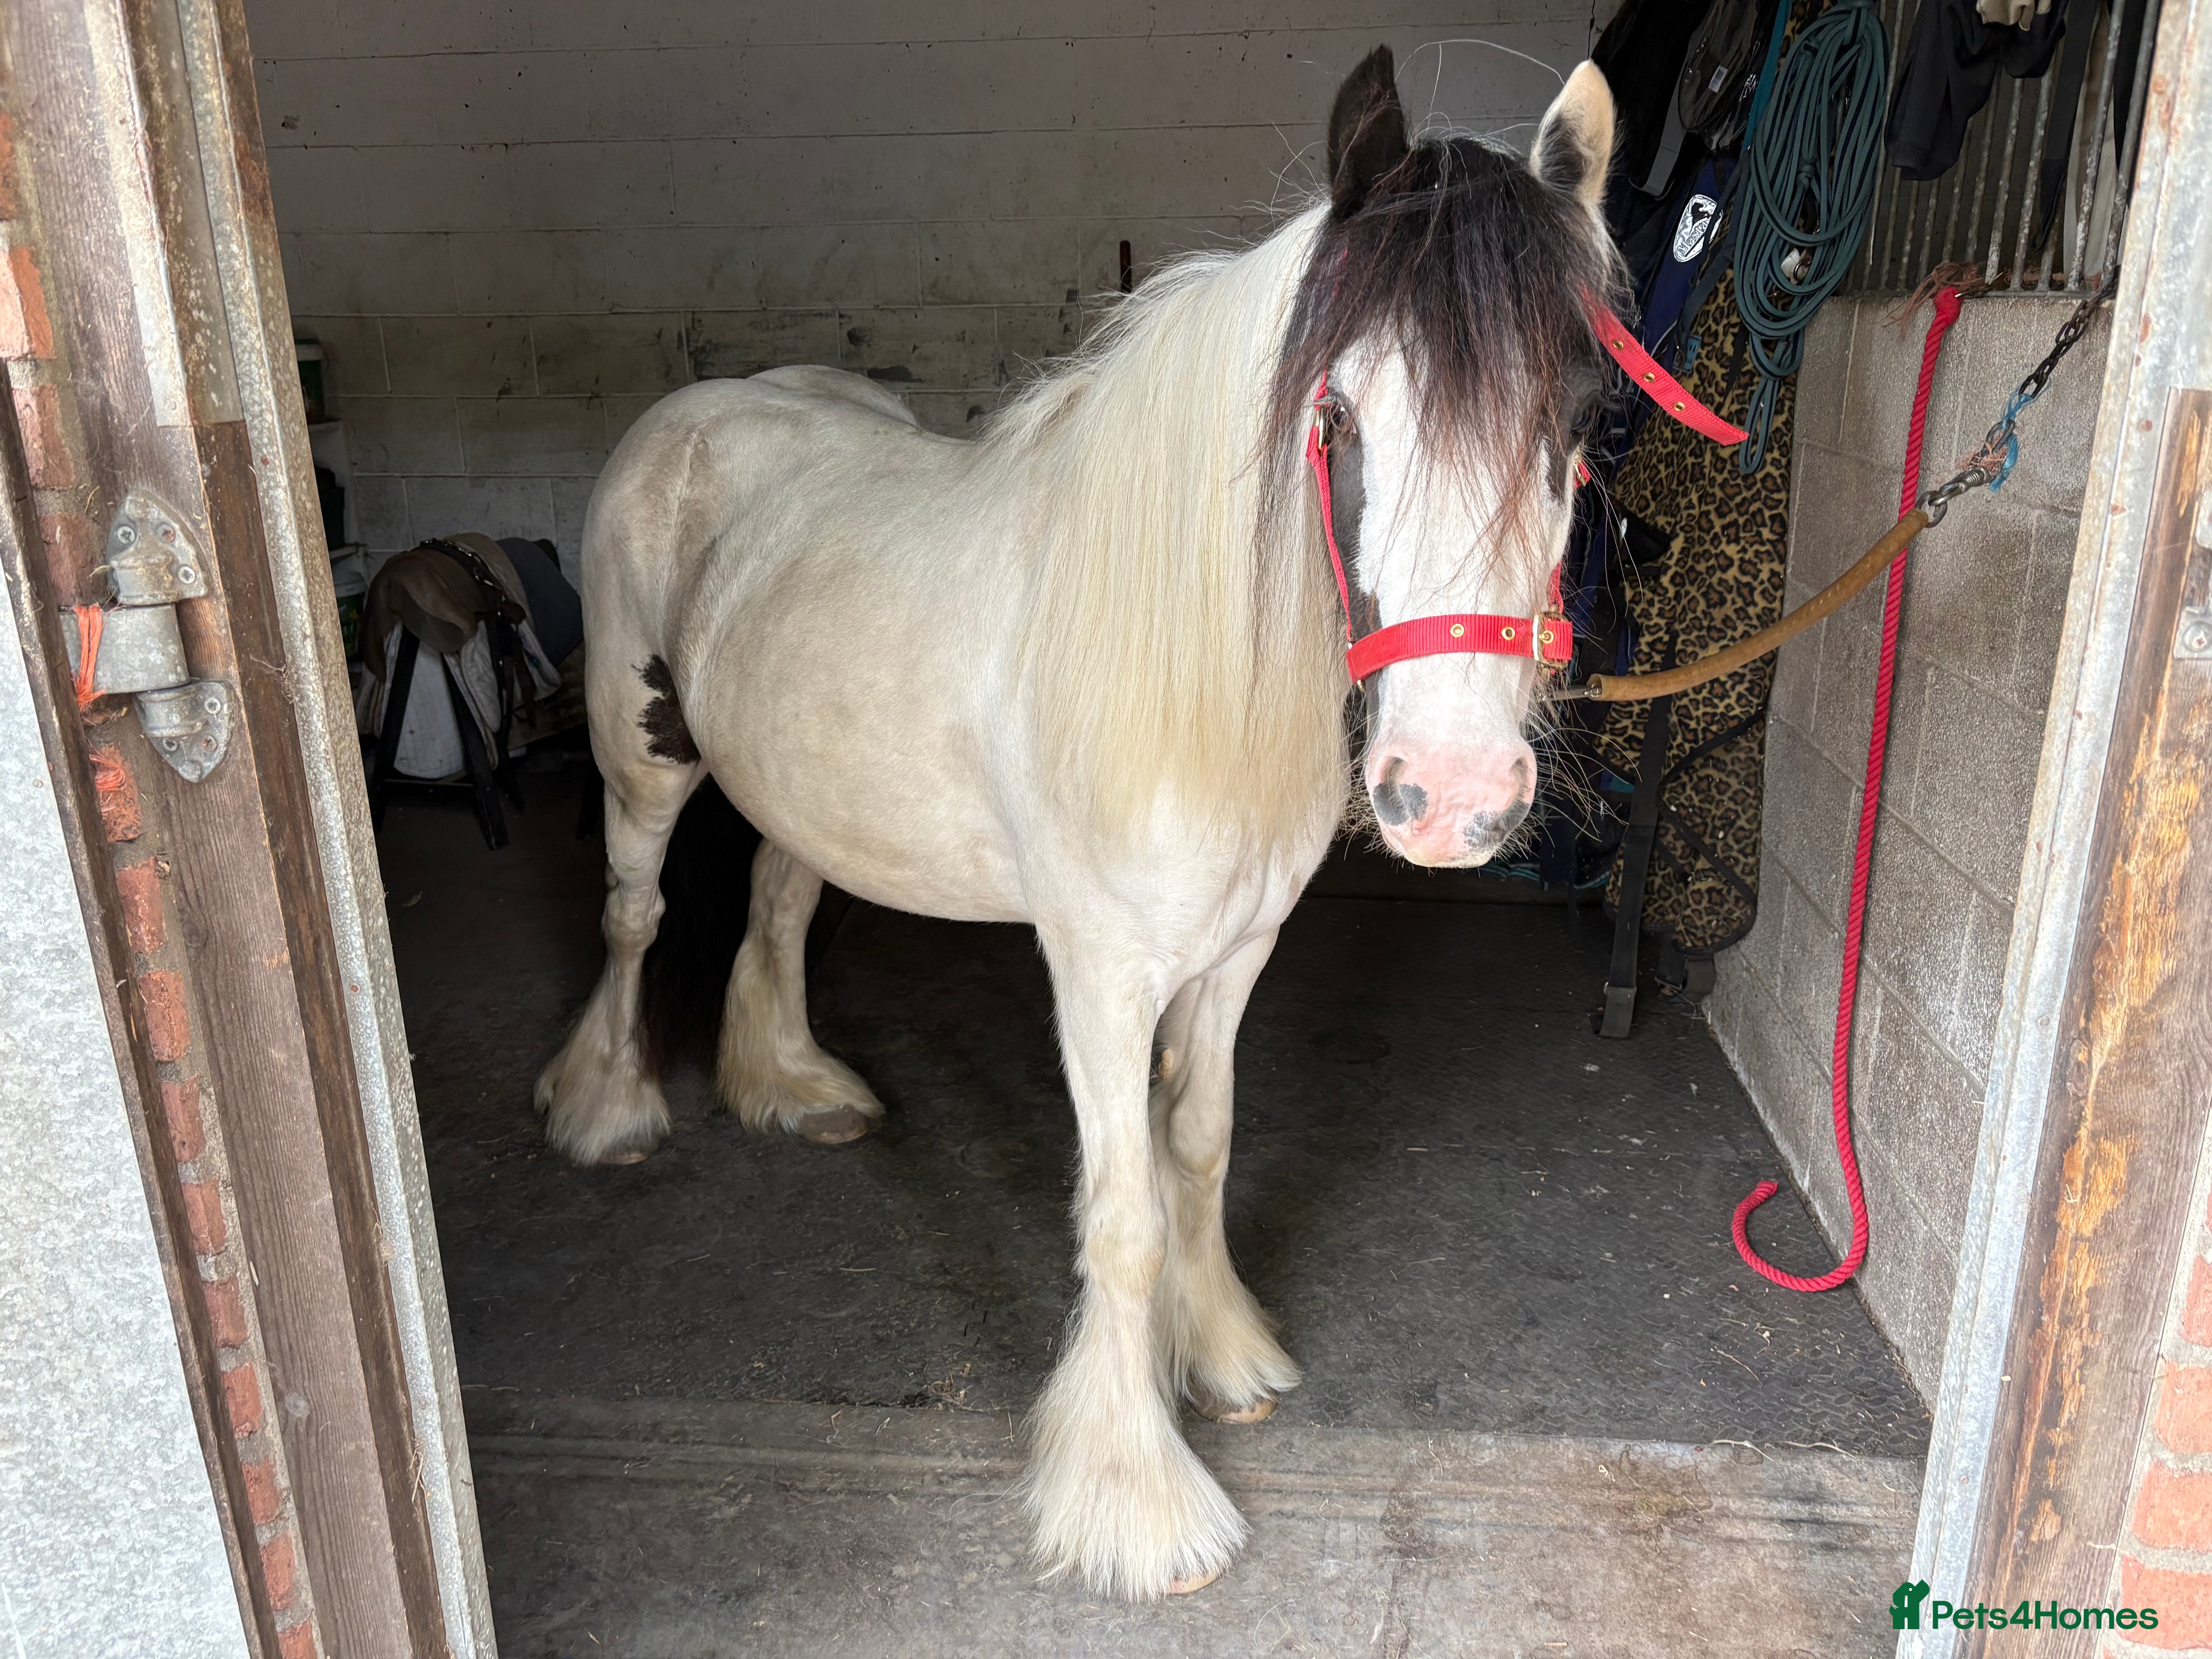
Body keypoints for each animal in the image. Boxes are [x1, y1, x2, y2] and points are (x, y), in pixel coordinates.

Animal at [535, 47, 1625, 1600]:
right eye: (1336, 419)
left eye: (1584, 423)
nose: (1453, 796)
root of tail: (705, 408)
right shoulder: (1099, 978)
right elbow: (1120, 1218)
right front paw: (1132, 1500)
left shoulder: (1233, 959)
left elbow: (1202, 1148)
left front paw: (1222, 1355)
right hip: (642, 766)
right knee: (636, 917)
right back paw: (610, 1111)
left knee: (781, 900)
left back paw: (793, 1083)